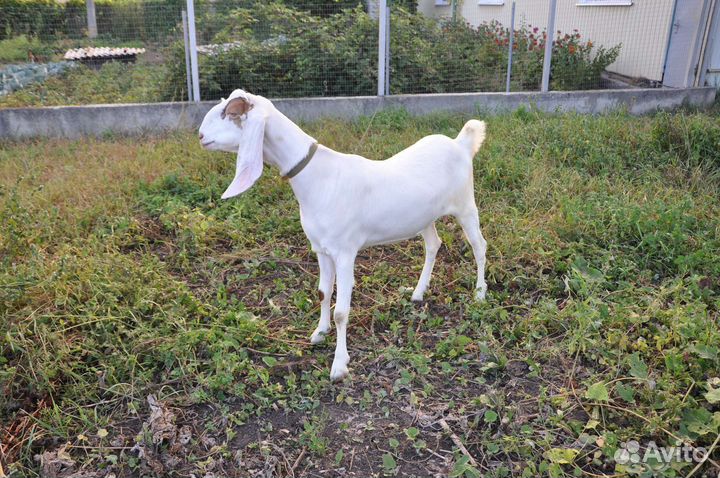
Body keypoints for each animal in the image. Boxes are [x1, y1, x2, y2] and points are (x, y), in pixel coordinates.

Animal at [198, 90, 488, 382]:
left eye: (230, 112)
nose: (200, 135)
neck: (319, 177)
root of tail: (460, 143)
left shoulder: (345, 252)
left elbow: (341, 311)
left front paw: (339, 365)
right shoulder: (321, 249)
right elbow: (323, 293)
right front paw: (319, 333)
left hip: (465, 205)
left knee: (479, 246)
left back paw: (479, 293)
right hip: (424, 217)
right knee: (433, 244)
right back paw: (418, 292)